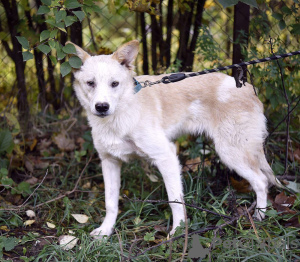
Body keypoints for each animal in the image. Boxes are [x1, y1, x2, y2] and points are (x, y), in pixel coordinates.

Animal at [67, 40, 280, 238]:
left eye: (114, 84)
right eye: (90, 83)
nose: (102, 107)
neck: (121, 114)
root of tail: (249, 89)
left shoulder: (166, 157)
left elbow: (175, 201)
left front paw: (177, 233)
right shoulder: (109, 162)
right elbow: (110, 202)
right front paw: (105, 231)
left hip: (231, 153)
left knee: (261, 181)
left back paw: (260, 217)